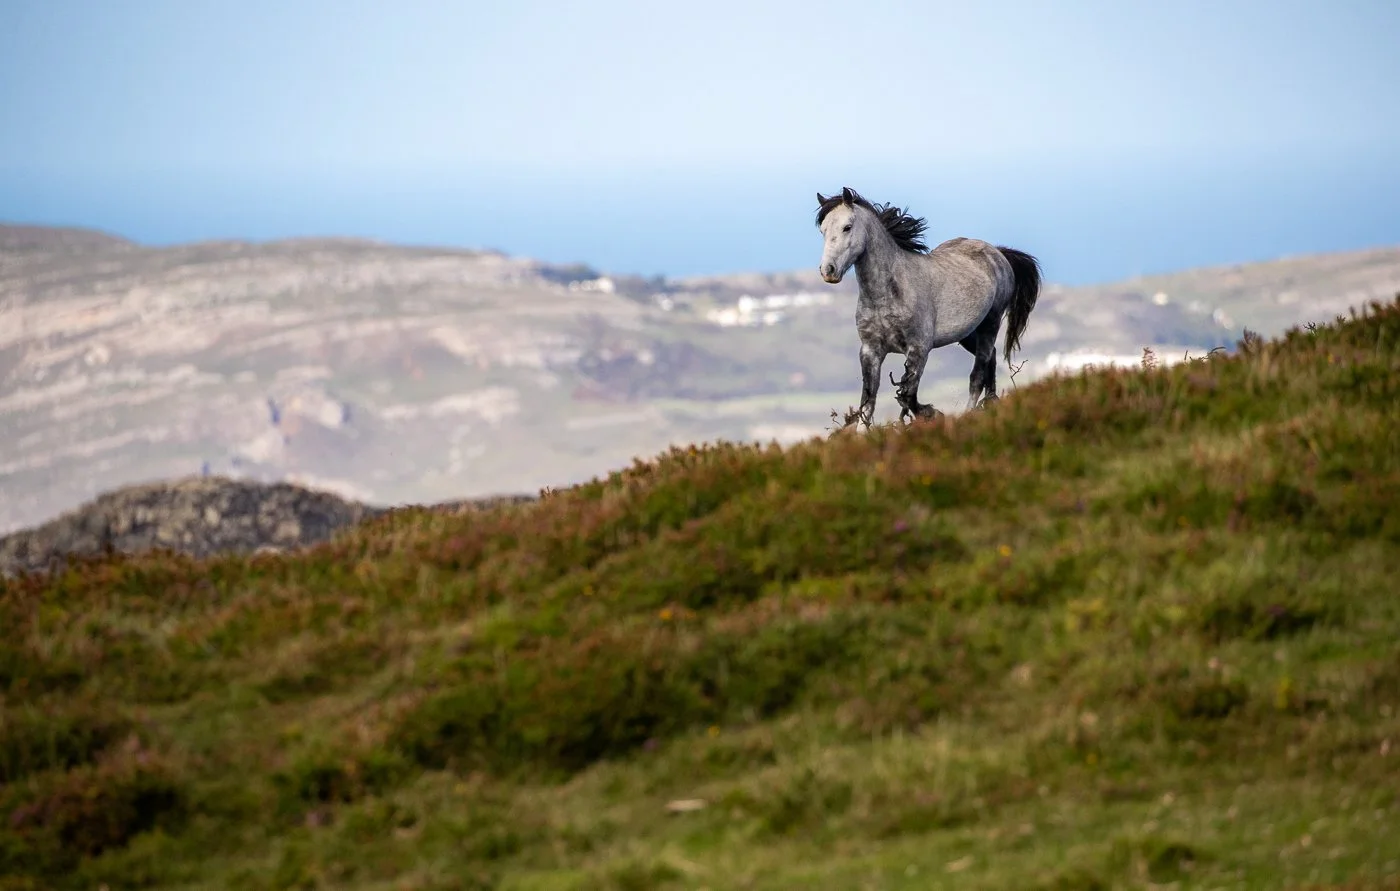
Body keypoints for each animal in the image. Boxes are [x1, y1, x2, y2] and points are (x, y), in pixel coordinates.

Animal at [815, 186, 1042, 428]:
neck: (888, 294)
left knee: (977, 376)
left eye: (847, 227)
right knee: (991, 359)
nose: (828, 270)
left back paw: (969, 415)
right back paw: (991, 405)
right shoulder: (870, 350)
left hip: (991, 324)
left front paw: (932, 414)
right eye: (823, 230)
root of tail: (998, 253)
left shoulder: (919, 349)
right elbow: (868, 402)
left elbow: (907, 395)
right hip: (968, 334)